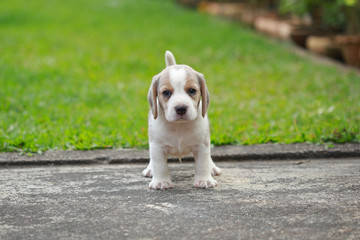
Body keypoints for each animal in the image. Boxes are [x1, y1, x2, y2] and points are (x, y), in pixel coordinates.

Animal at [142, 50, 221, 189]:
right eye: (166, 93)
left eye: (192, 90)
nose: (181, 108)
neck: (180, 126)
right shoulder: (157, 146)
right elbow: (160, 165)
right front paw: (161, 181)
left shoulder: (202, 146)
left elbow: (203, 163)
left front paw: (204, 179)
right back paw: (150, 169)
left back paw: (212, 167)